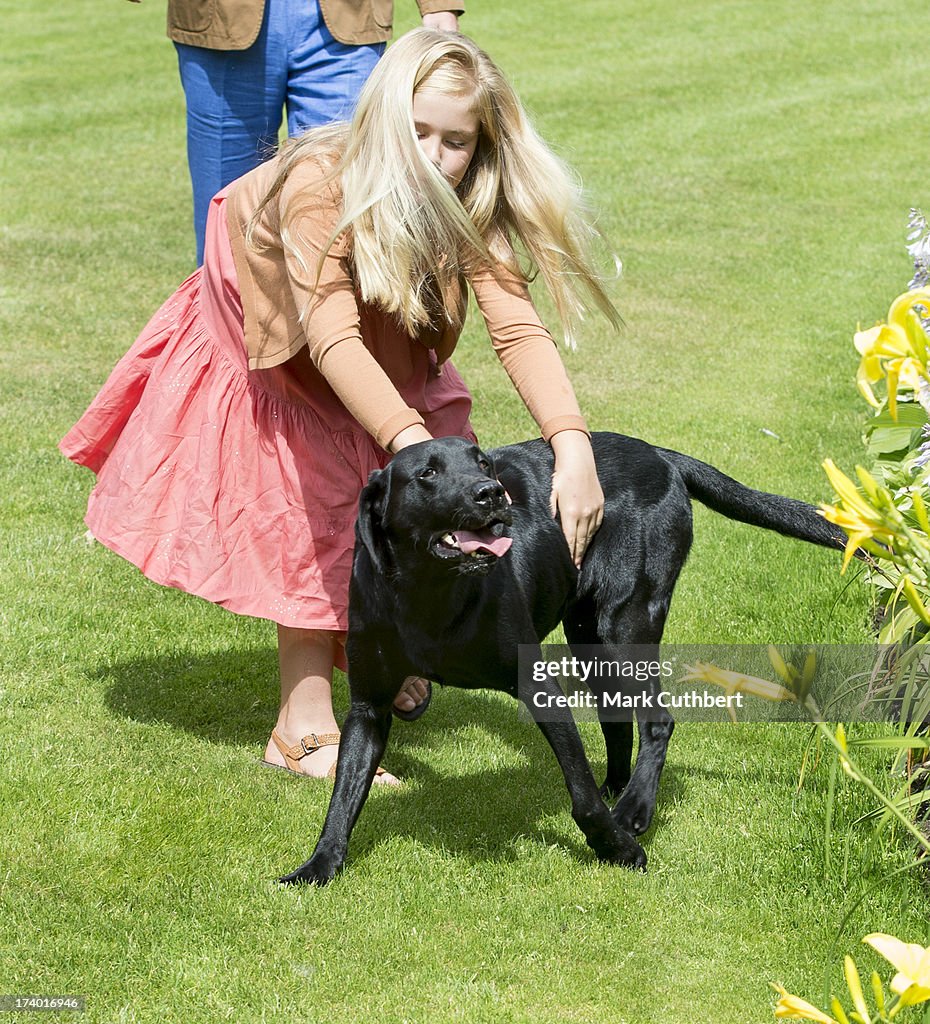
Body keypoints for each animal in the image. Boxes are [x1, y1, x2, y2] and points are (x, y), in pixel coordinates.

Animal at [280, 430, 848, 880]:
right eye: (427, 474)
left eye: (482, 462)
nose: (493, 494)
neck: (428, 594)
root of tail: (660, 455)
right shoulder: (368, 707)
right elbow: (344, 794)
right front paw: (318, 866)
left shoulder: (537, 684)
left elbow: (580, 795)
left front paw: (617, 848)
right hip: (587, 636)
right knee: (619, 720)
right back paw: (619, 787)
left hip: (625, 625)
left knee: (657, 720)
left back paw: (634, 808)